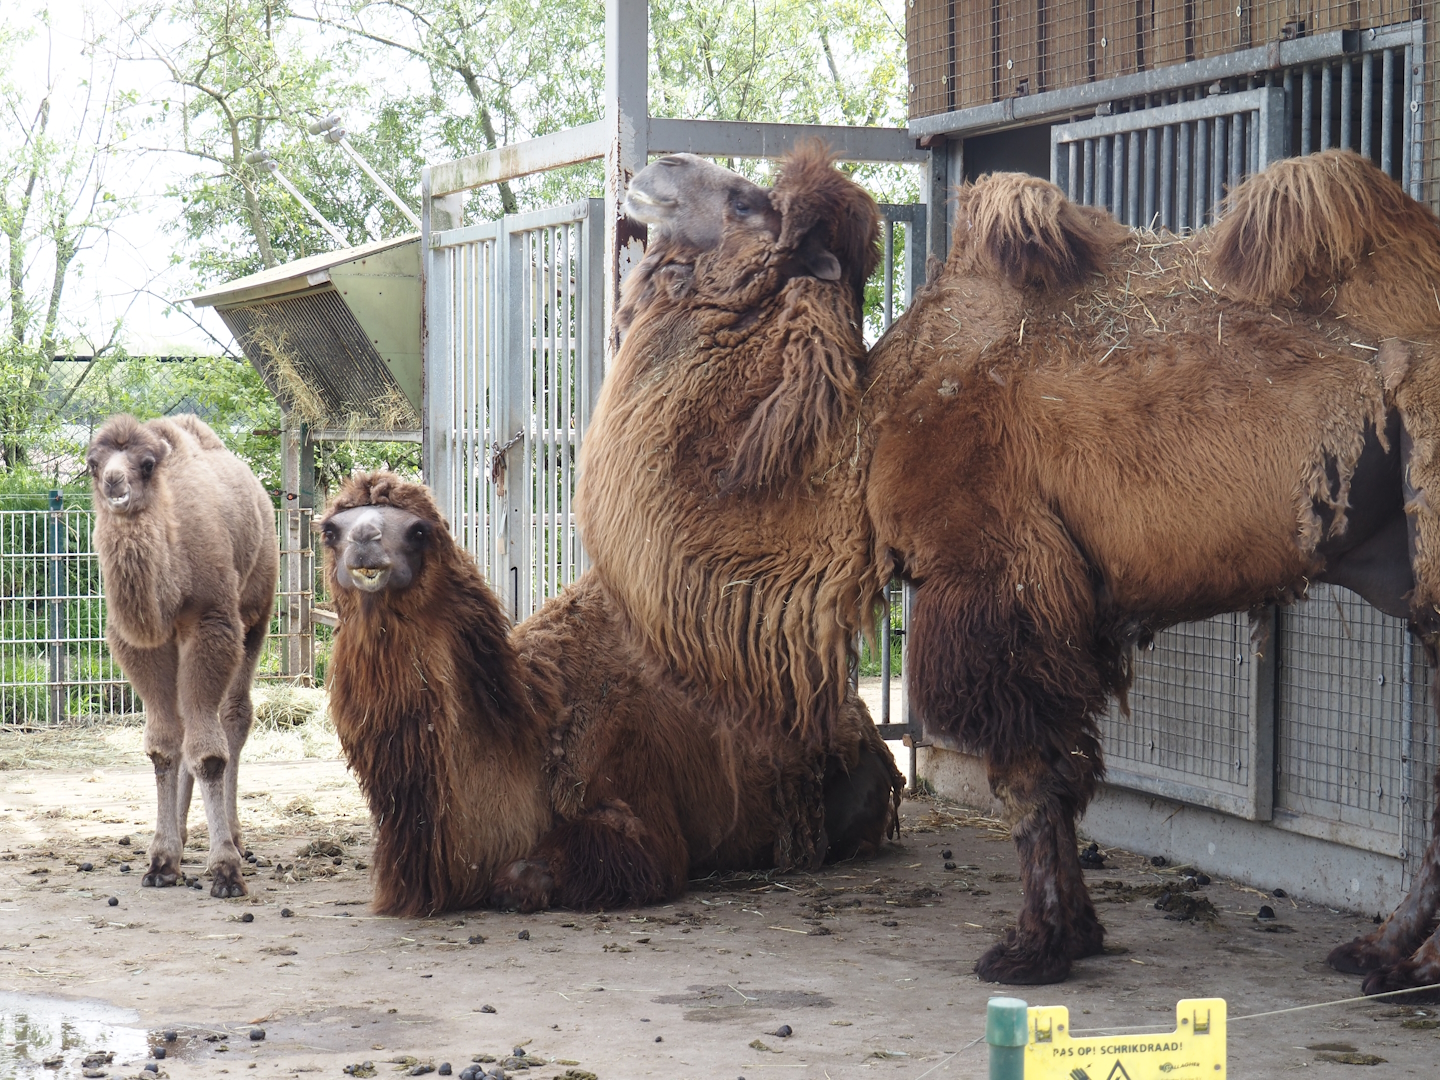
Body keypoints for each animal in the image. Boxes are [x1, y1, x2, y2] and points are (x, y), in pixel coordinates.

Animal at [88, 414, 278, 898]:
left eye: (147, 464)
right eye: (93, 464)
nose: (115, 483)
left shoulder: (213, 622)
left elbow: (209, 752)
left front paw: (226, 868)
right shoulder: (141, 643)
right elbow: (163, 746)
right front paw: (161, 860)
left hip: (257, 611)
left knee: (233, 716)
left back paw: (233, 834)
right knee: (185, 726)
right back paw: (183, 832)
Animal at [319, 473, 901, 918]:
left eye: (418, 530)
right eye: (330, 530)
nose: (365, 543)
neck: (534, 732)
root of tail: (861, 720)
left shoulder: (634, 800)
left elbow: (527, 876)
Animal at [575, 144, 1440, 989]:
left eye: (747, 202)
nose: (656, 165)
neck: (869, 433)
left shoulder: (990, 571)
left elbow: (1030, 772)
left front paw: (1034, 949)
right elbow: (1061, 768)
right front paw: (1079, 934)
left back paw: (1390, 956)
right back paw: (1385, 953)